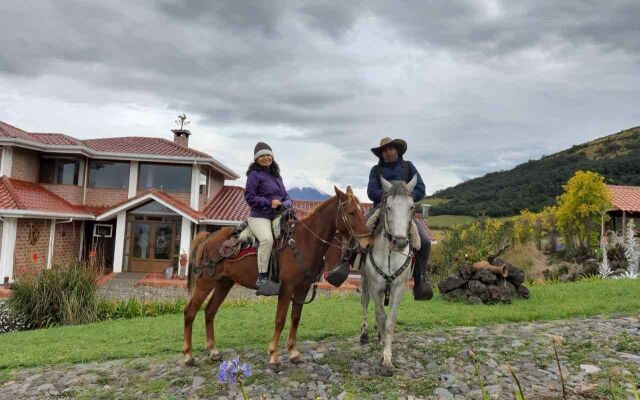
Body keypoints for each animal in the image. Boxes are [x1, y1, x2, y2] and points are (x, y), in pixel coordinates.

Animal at [181, 186, 370, 368]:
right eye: (351, 212)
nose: (367, 244)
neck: (304, 241)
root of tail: (209, 237)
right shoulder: (286, 289)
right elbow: (280, 320)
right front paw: (273, 356)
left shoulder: (302, 289)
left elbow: (295, 318)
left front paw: (293, 352)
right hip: (205, 283)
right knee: (190, 311)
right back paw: (188, 355)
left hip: (224, 283)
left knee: (210, 311)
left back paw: (213, 351)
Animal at [358, 175, 418, 376]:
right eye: (388, 207)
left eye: (411, 207)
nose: (399, 242)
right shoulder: (375, 286)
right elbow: (380, 315)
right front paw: (384, 354)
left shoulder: (399, 288)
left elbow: (390, 321)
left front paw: (387, 360)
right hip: (365, 281)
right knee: (365, 303)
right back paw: (365, 334)